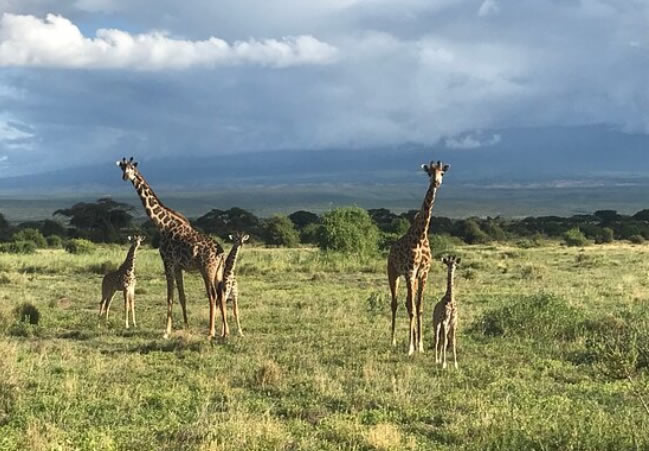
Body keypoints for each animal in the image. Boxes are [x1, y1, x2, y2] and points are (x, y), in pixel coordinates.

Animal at [116, 157, 227, 338]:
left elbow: (170, 296)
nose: (126, 177)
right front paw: (186, 326)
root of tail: (221, 252)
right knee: (221, 295)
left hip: (207, 270)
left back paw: (211, 332)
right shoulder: (178, 266)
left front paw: (166, 332)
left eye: (132, 168)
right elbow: (182, 295)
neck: (162, 224)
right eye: (123, 168)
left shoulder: (167, 262)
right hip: (217, 272)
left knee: (212, 295)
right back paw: (225, 331)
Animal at [387, 160, 450, 355]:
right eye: (429, 173)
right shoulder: (409, 272)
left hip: (411, 278)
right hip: (393, 273)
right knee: (395, 303)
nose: (436, 182)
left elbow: (419, 307)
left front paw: (420, 345)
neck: (421, 236)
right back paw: (392, 341)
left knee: (410, 303)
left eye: (442, 173)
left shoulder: (422, 274)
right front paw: (410, 347)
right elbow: (412, 309)